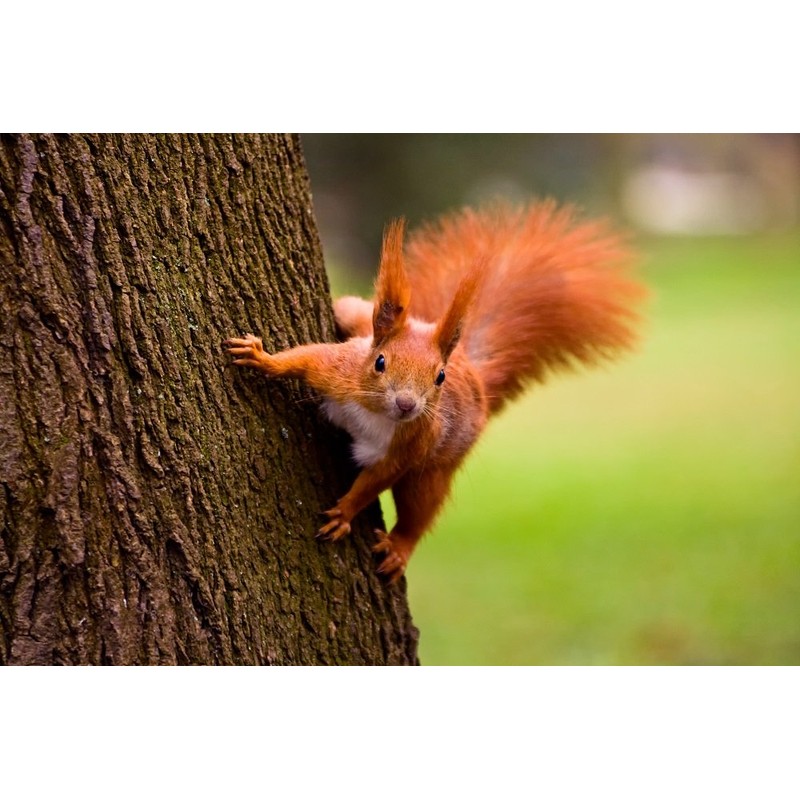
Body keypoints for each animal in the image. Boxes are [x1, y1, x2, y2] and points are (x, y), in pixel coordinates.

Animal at [225, 200, 645, 582]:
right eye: (380, 362)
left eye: (439, 377)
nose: (407, 404)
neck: (375, 412)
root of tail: (475, 375)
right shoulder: (338, 371)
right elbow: (304, 358)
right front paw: (261, 358)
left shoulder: (409, 447)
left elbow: (374, 481)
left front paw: (344, 513)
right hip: (358, 319)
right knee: (350, 310)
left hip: (435, 469)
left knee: (420, 509)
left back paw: (399, 547)